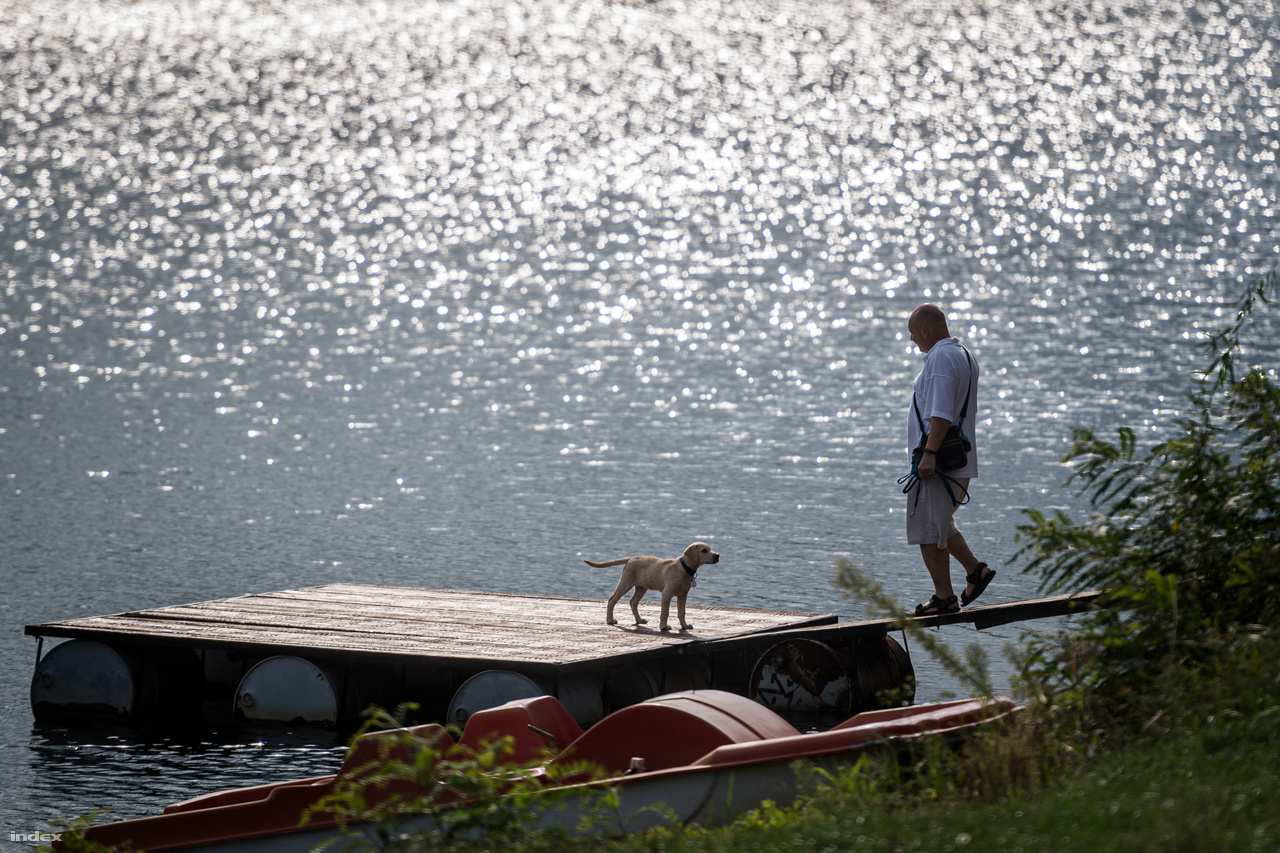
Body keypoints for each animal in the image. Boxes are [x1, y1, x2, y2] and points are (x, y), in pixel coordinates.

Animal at [583, 540, 721, 627]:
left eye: (711, 549)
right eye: (704, 550)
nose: (718, 555)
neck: (684, 568)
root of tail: (631, 559)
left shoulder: (683, 595)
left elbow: (682, 612)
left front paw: (685, 626)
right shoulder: (667, 593)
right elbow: (665, 612)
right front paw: (664, 627)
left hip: (641, 588)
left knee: (633, 602)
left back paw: (639, 620)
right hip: (625, 584)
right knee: (612, 600)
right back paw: (610, 620)